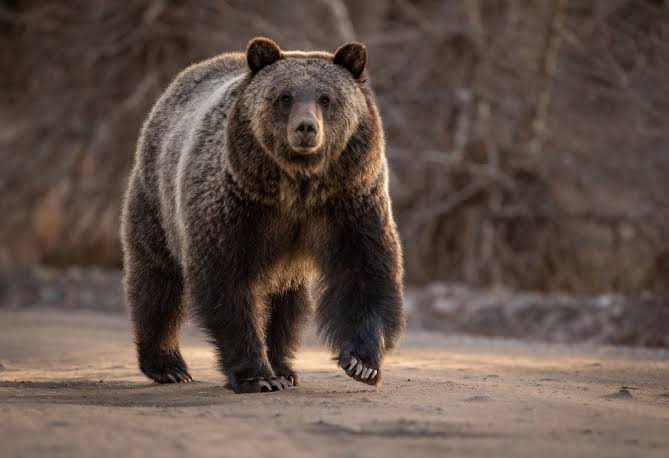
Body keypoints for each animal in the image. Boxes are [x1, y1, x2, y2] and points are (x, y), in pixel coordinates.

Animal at [120, 37, 404, 393]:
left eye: (326, 98)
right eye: (285, 97)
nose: (306, 128)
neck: (298, 187)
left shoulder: (349, 201)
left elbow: (364, 271)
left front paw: (361, 363)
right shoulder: (237, 206)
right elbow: (228, 282)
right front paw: (256, 375)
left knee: (287, 303)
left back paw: (284, 366)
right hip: (157, 199)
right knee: (158, 280)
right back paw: (168, 365)